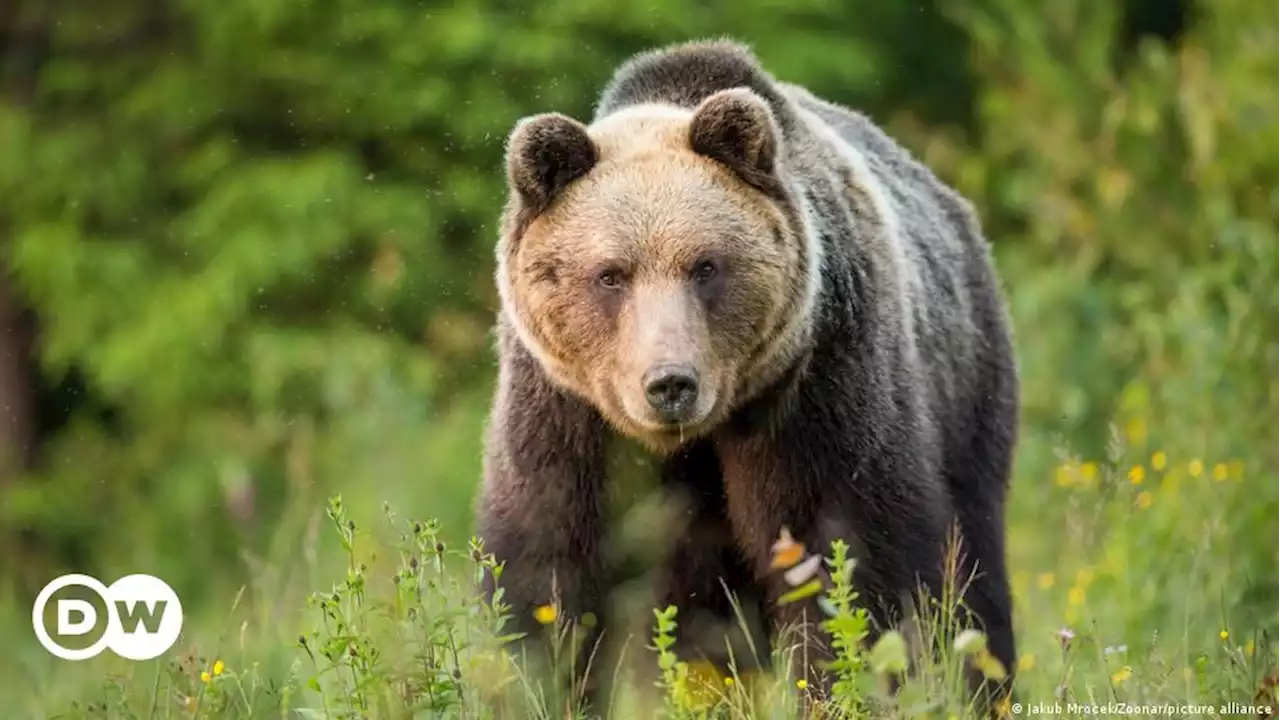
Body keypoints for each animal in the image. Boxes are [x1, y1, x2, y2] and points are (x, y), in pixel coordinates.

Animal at [473, 37, 1018, 712]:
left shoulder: (817, 383)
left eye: (705, 266)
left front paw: (842, 686)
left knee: (974, 571)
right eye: (610, 274)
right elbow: (547, 562)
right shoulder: (564, 409)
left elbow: (843, 553)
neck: (697, 435)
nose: (670, 384)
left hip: (967, 394)